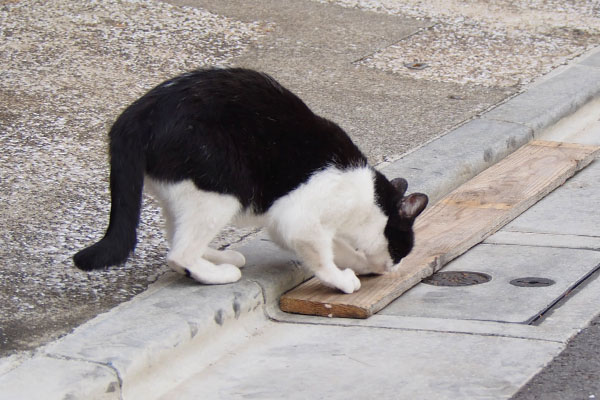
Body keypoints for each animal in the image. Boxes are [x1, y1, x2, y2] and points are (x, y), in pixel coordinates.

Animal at [74, 67, 426, 294]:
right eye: (401, 249)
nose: (394, 268)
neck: (366, 200)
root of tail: (134, 115)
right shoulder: (298, 219)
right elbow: (320, 255)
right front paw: (341, 279)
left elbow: (334, 249)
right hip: (223, 188)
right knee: (179, 253)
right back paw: (217, 273)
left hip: (185, 191)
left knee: (175, 235)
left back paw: (217, 256)